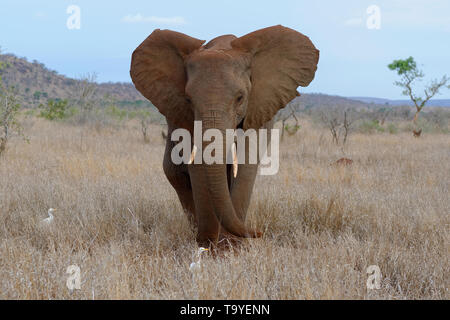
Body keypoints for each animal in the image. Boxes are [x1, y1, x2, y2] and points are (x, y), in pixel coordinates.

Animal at [130, 25, 320, 246]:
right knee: (175, 172)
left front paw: (233, 244)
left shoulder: (260, 105)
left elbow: (247, 161)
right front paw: (210, 244)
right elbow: (197, 164)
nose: (258, 232)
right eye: (188, 99)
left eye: (240, 98)